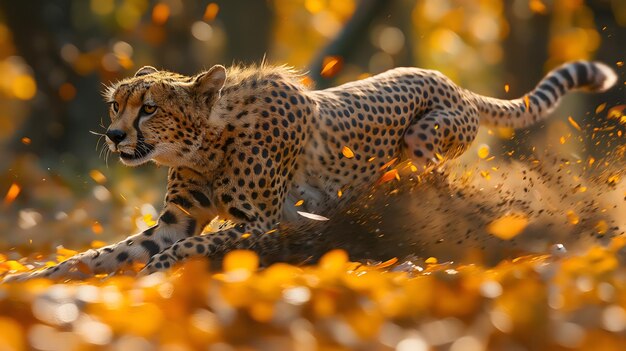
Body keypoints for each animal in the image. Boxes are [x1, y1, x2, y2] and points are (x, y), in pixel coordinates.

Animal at [4, 59, 616, 280]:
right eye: (117, 105)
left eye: (149, 108)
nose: (114, 136)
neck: (205, 142)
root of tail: (448, 80)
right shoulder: (178, 219)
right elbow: (107, 252)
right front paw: (38, 276)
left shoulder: (263, 221)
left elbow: (196, 244)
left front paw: (160, 272)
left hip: (425, 139)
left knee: (429, 183)